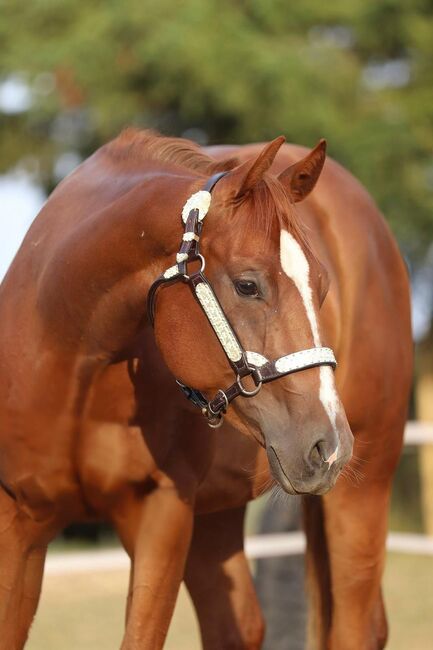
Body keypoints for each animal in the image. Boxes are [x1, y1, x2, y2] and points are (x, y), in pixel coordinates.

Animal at [0, 128, 408, 648]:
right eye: (248, 285)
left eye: (322, 286)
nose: (329, 445)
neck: (72, 359)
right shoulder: (17, 526)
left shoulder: (162, 519)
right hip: (217, 518)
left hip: (363, 492)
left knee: (355, 626)